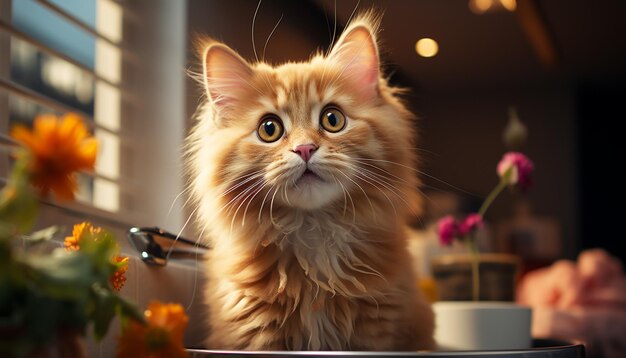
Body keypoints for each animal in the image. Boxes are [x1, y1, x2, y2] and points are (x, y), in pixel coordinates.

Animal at [185, 12, 434, 352]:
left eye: (333, 119)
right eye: (269, 129)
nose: (305, 149)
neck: (314, 237)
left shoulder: (377, 329)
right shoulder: (258, 335)